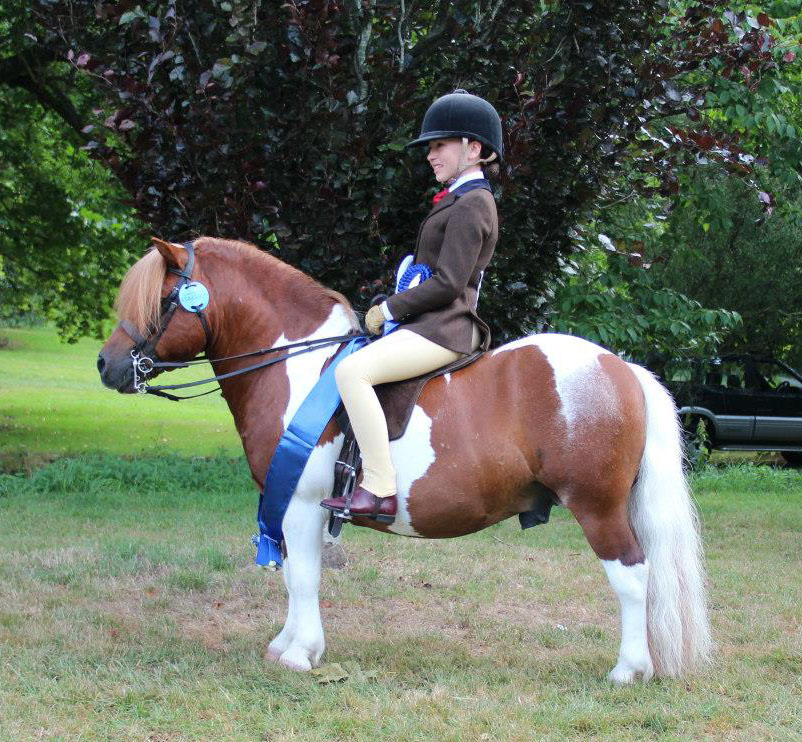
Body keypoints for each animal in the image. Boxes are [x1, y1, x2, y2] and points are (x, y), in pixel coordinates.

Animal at [97, 235, 708, 684]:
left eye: (161, 301)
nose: (106, 366)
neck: (295, 364)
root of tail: (623, 369)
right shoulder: (295, 503)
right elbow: (297, 573)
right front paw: (287, 645)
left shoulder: (300, 502)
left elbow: (303, 577)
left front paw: (299, 654)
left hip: (597, 508)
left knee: (632, 577)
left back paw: (628, 671)